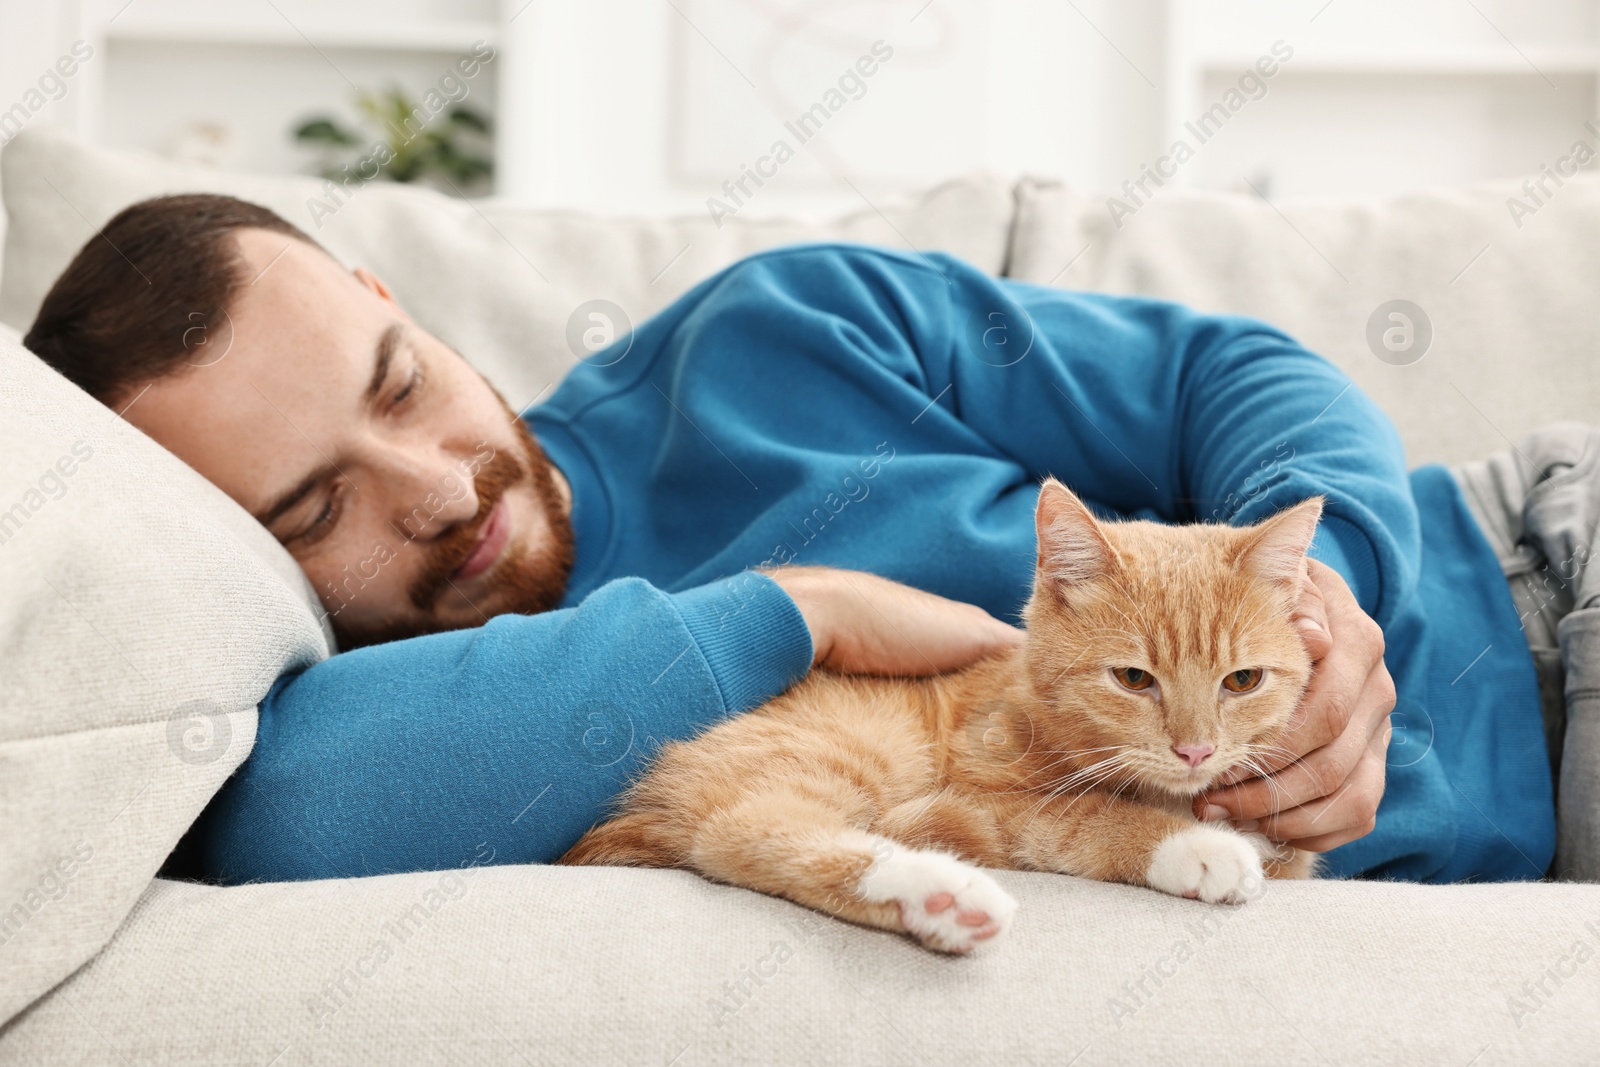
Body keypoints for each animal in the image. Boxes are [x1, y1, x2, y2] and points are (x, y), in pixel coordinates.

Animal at [569, 479, 1318, 953]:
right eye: (1133, 678)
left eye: (1242, 680)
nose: (1196, 750)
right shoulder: (989, 794)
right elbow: (1086, 816)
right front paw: (1196, 846)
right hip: (847, 747)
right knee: (744, 830)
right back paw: (937, 893)